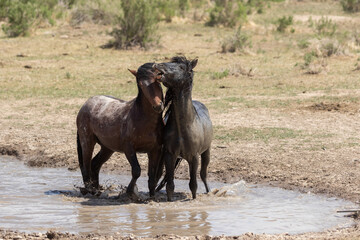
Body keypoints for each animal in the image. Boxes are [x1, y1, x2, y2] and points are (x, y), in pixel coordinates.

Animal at [78, 62, 165, 198]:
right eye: (141, 84)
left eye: (158, 79)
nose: (157, 106)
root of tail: (86, 104)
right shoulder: (128, 148)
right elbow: (136, 171)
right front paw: (130, 192)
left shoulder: (155, 150)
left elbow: (152, 175)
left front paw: (152, 197)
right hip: (87, 141)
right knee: (86, 165)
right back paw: (89, 190)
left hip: (107, 148)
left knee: (95, 164)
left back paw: (97, 190)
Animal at [153, 56, 214, 201]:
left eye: (181, 67)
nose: (157, 65)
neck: (183, 128)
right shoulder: (169, 155)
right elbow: (169, 185)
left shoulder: (194, 157)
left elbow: (193, 185)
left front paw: (194, 199)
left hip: (206, 152)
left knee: (203, 173)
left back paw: (209, 191)